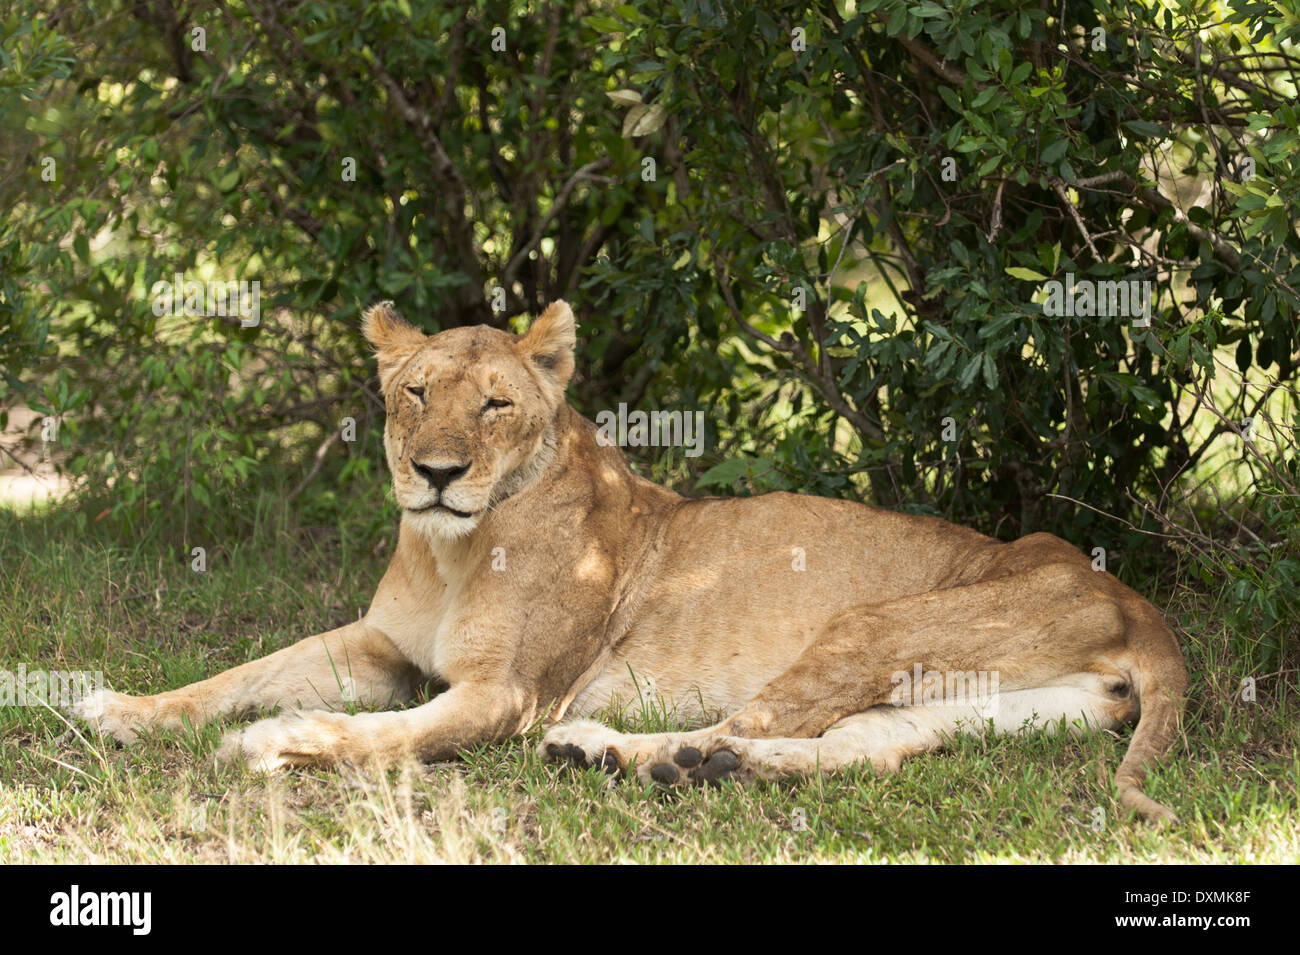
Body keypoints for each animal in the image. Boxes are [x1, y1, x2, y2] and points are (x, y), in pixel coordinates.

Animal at [73, 302, 1190, 826]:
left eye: (495, 404)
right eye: (416, 392)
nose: (436, 473)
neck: (447, 548)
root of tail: (1128, 595)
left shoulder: (511, 693)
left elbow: (380, 734)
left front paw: (280, 741)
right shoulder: (376, 645)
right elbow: (243, 671)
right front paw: (123, 710)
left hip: (871, 624)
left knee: (756, 721)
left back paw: (616, 752)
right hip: (969, 703)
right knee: (853, 747)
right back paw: (668, 764)